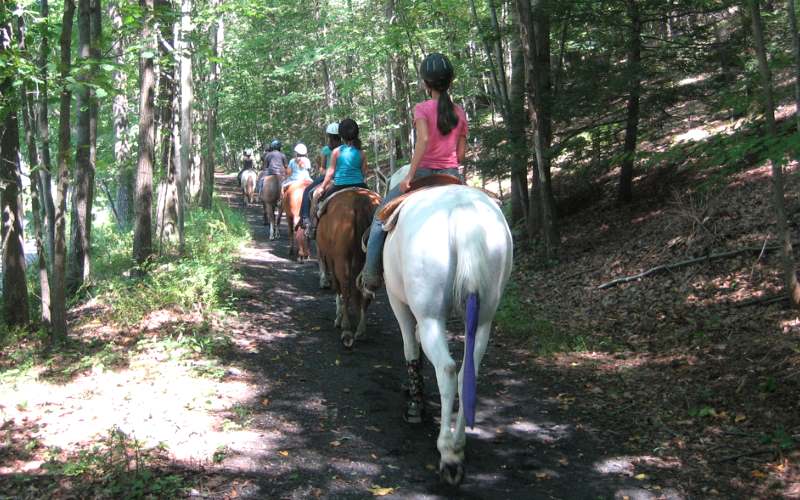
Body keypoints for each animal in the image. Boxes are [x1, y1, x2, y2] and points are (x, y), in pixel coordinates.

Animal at [316, 189, 382, 350]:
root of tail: (360, 202)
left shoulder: (331, 259)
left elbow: (338, 288)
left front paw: (338, 317)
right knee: (366, 292)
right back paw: (361, 330)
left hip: (341, 258)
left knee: (345, 287)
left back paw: (346, 328)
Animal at [382, 183, 512, 484]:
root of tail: (463, 213)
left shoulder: (398, 303)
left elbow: (410, 346)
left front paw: (415, 403)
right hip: (483, 319)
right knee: (467, 372)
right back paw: (459, 444)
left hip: (431, 316)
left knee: (447, 370)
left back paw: (448, 453)